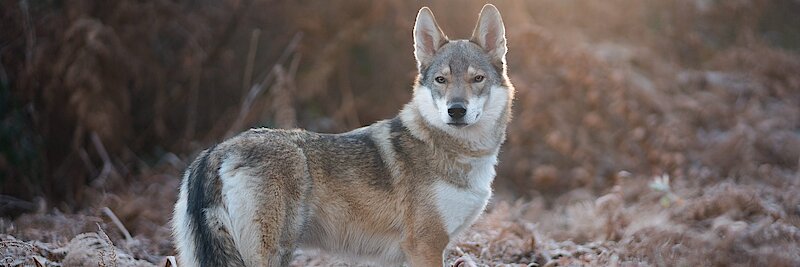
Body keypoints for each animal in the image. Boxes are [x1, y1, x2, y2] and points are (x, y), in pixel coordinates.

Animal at [172, 4, 516, 267]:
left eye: (477, 79)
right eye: (441, 80)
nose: (456, 110)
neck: (459, 152)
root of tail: (216, 151)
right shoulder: (426, 246)